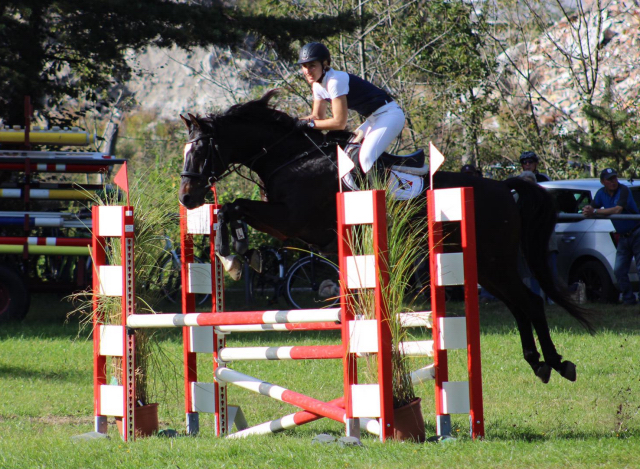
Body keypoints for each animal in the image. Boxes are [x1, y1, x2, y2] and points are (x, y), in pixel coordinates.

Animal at [178, 89, 592, 382]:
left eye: (199, 151)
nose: (187, 197)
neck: (292, 158)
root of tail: (504, 188)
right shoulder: (286, 224)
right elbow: (234, 209)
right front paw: (236, 255)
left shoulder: (295, 221)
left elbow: (235, 207)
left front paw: (234, 256)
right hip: (485, 266)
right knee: (518, 304)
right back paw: (540, 364)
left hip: (495, 261)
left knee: (530, 301)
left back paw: (557, 363)